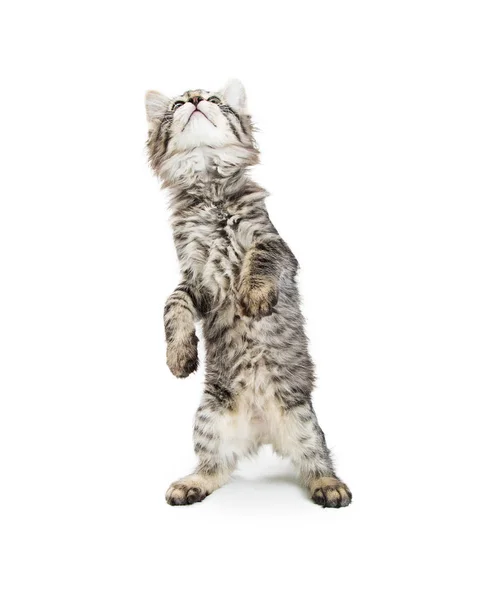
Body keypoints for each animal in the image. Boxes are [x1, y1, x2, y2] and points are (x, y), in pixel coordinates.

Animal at [144, 79, 350, 508]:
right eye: (176, 105)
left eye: (214, 100)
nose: (194, 100)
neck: (209, 188)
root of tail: (261, 427)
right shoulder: (194, 277)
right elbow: (172, 304)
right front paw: (179, 356)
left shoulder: (273, 244)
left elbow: (258, 261)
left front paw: (254, 298)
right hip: (208, 420)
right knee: (215, 467)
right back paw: (190, 485)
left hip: (303, 421)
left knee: (317, 462)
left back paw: (331, 487)